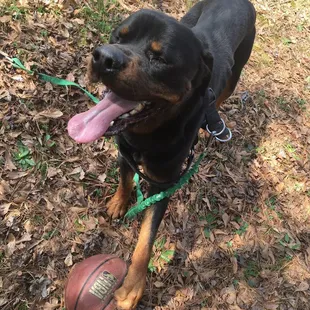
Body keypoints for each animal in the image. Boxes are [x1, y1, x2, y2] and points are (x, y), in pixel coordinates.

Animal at [68, 0, 256, 308]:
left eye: (160, 58)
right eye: (118, 36)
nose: (103, 56)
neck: (149, 134)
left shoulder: (164, 184)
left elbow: (146, 240)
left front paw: (132, 288)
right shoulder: (126, 151)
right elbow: (124, 180)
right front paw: (118, 203)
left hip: (235, 74)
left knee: (221, 96)